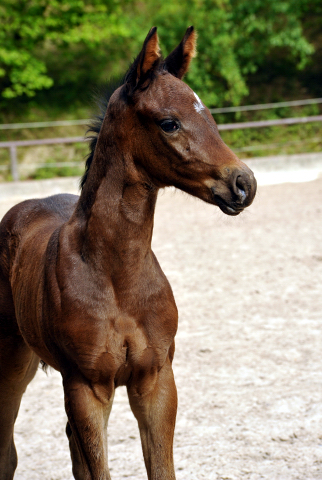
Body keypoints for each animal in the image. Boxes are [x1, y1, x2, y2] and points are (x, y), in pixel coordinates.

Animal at [0, 27, 256, 480]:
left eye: (210, 117)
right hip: (10, 361)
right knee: (6, 451)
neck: (118, 275)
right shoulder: (87, 387)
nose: (244, 184)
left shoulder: (156, 380)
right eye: (169, 123)